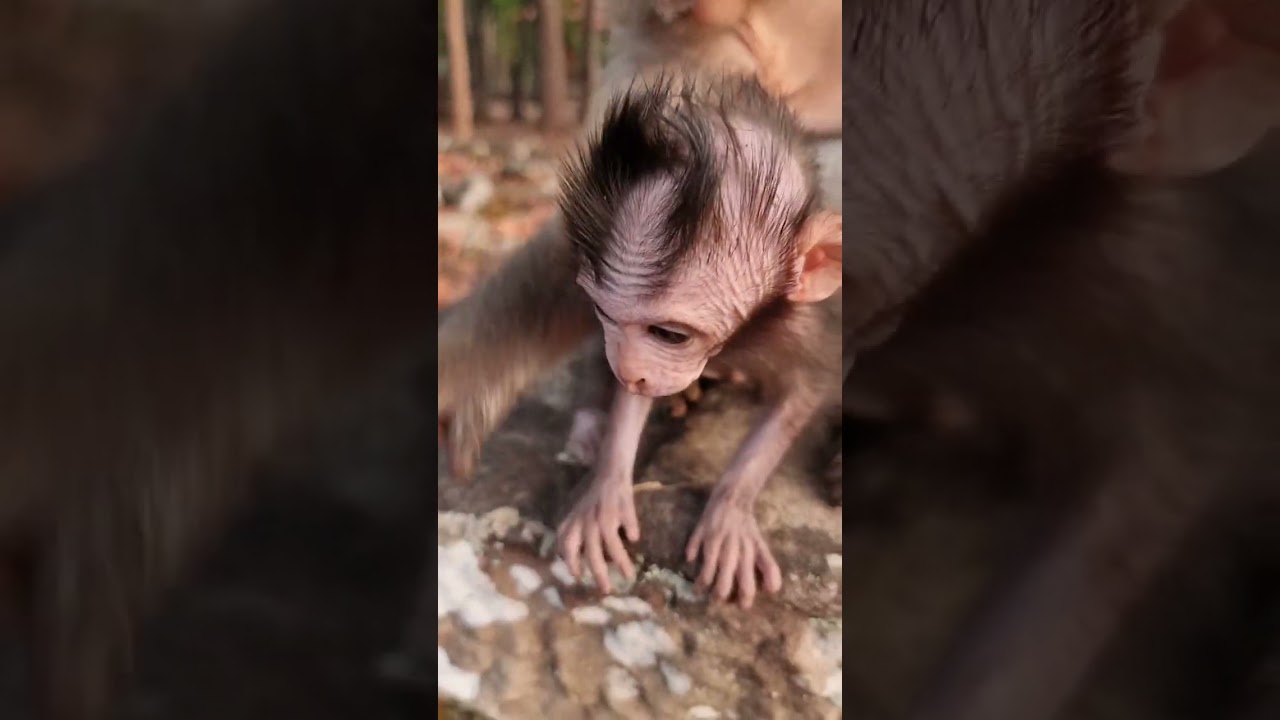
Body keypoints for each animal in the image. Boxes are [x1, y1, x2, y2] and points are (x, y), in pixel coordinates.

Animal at [549, 74, 842, 608]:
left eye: (671, 335)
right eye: (605, 314)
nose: (629, 368)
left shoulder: (805, 325)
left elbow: (806, 393)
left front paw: (729, 510)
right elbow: (630, 396)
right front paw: (606, 488)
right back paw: (591, 426)